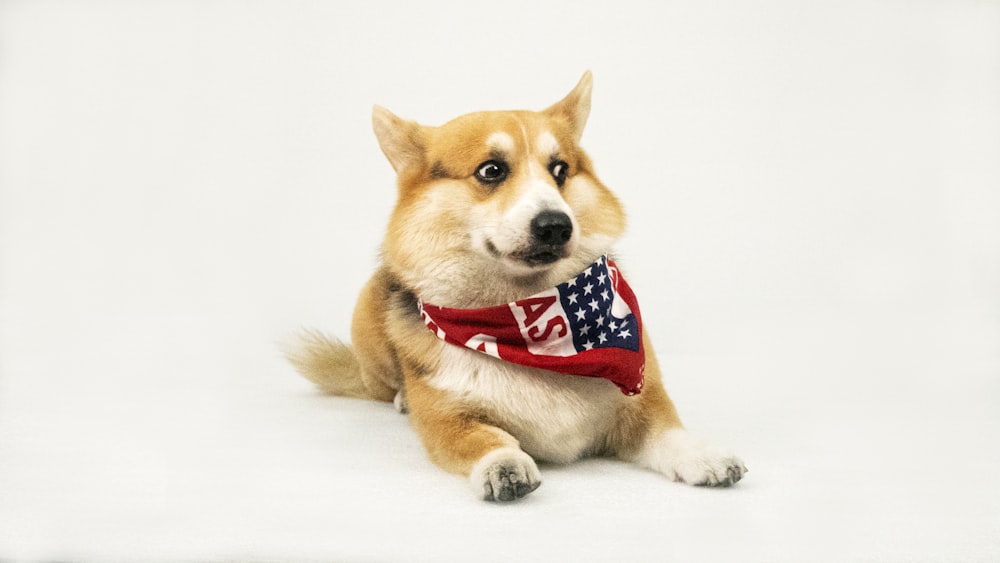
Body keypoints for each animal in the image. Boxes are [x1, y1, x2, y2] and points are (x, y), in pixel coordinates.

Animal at [286, 71, 748, 502]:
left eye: (560, 170)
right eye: (491, 170)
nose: (556, 225)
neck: (527, 314)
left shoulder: (642, 398)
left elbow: (669, 432)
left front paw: (705, 455)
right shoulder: (446, 421)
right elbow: (486, 438)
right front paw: (504, 465)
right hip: (368, 316)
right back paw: (401, 399)